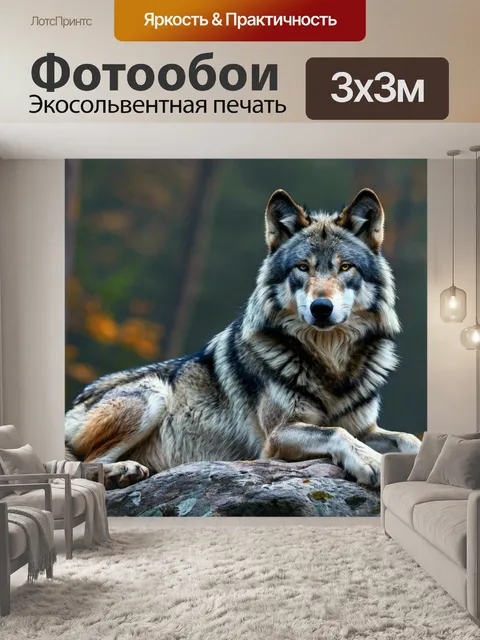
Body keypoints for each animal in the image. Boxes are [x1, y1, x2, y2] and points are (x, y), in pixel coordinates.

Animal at [65, 187, 421, 489]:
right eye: (302, 267)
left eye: (345, 267)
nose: (321, 308)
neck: (330, 362)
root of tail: (75, 403)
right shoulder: (277, 437)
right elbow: (336, 432)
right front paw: (370, 462)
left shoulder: (365, 428)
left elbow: (409, 438)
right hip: (154, 394)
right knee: (83, 463)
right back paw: (121, 471)